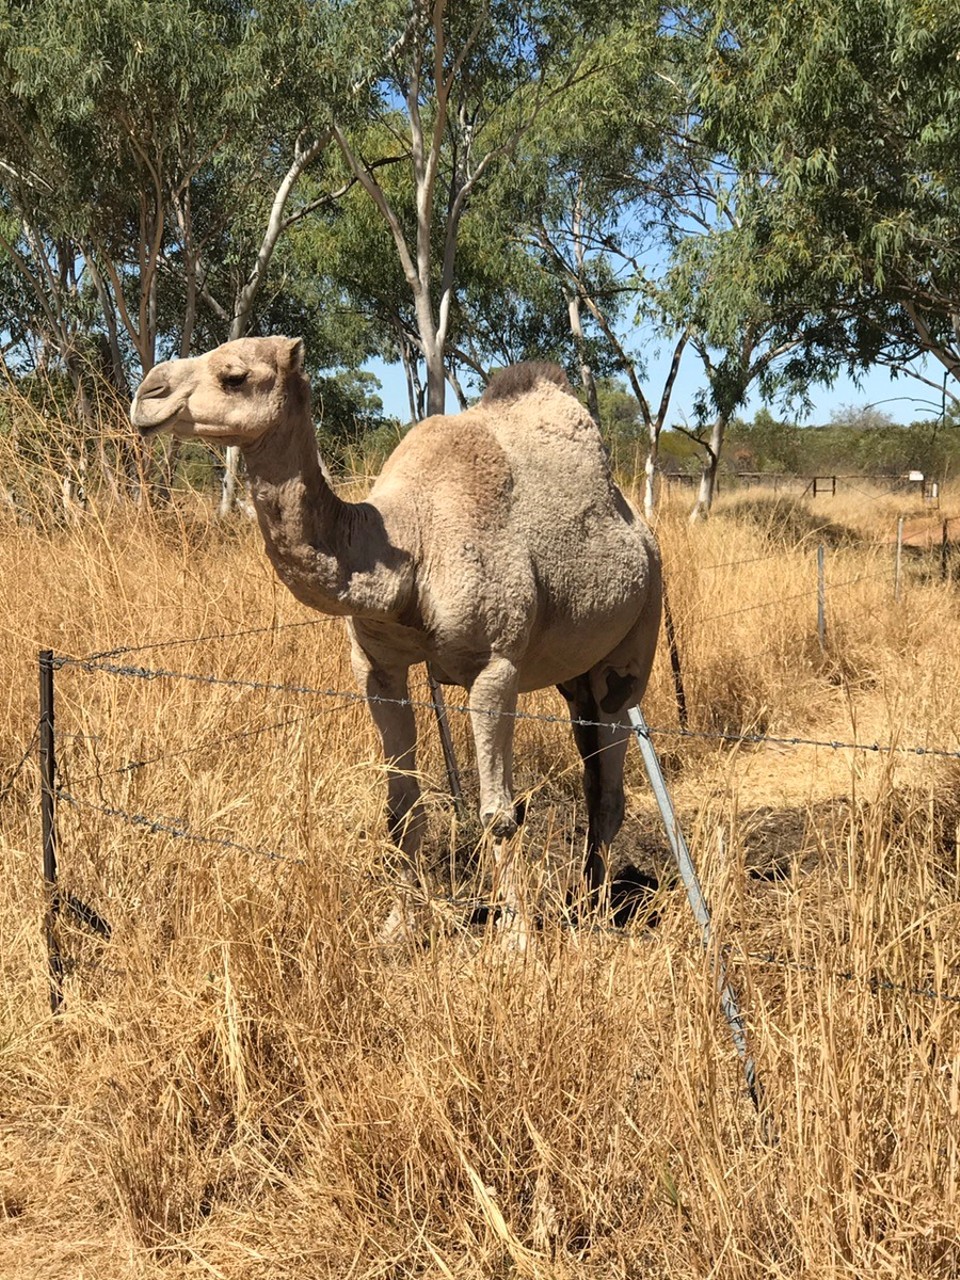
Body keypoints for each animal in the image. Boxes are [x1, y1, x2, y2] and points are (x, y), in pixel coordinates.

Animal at [131, 337, 665, 942]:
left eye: (234, 376)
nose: (147, 394)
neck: (413, 546)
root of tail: (641, 532)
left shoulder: (496, 666)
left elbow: (498, 814)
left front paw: (515, 940)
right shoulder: (377, 666)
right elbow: (401, 805)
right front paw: (396, 928)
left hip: (634, 642)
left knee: (610, 779)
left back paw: (595, 913)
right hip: (575, 678)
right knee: (593, 773)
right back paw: (587, 901)